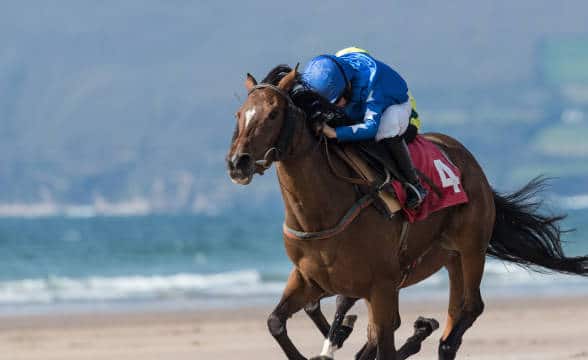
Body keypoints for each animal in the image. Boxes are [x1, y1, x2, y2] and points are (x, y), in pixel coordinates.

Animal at [226, 65, 588, 360]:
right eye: (239, 114)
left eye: (273, 114)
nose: (238, 162)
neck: (321, 212)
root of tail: (471, 163)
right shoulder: (308, 279)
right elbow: (276, 321)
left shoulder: (381, 285)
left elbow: (382, 342)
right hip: (449, 259)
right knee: (452, 315)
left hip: (470, 249)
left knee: (470, 308)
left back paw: (433, 337)